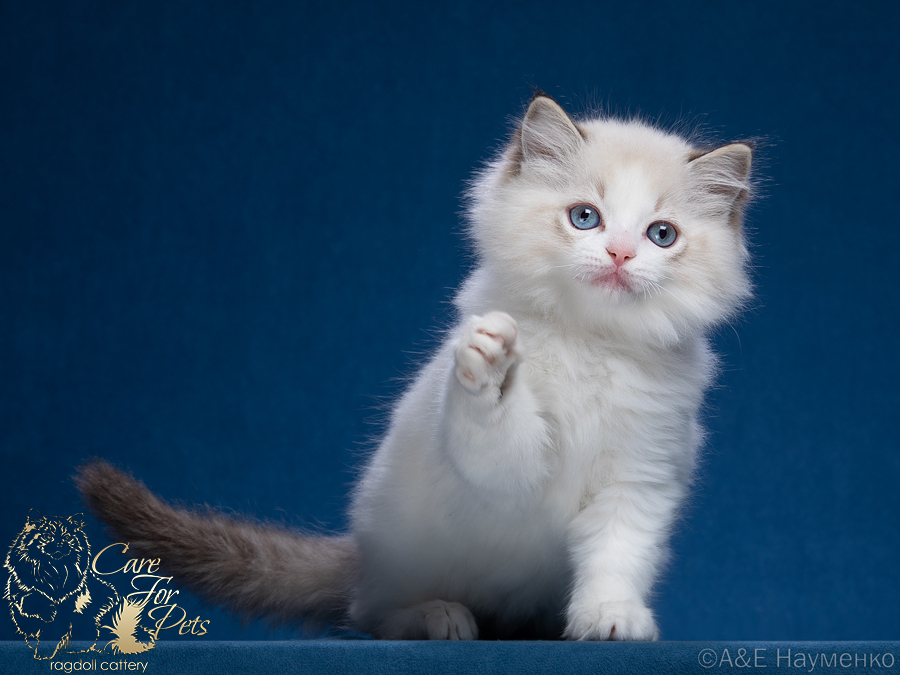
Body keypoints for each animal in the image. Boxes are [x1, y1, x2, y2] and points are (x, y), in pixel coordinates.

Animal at [75, 92, 752, 640]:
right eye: (585, 217)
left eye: (661, 235)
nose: (619, 254)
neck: (593, 342)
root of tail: (360, 553)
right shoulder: (507, 469)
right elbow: (497, 432)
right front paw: (492, 364)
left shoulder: (639, 479)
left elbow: (616, 558)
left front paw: (611, 618)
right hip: (400, 542)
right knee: (368, 614)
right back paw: (439, 617)